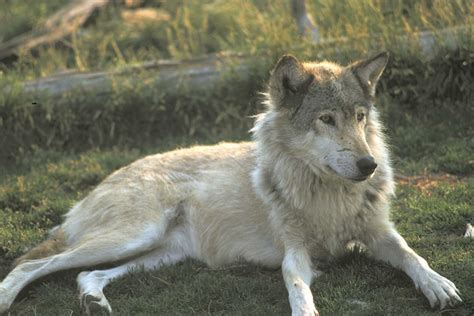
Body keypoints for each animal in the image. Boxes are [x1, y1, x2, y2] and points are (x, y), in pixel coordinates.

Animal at [0, 51, 460, 314]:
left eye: (361, 117)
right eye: (326, 119)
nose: (369, 165)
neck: (327, 194)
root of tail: (98, 185)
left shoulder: (379, 234)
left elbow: (413, 256)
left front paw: (438, 285)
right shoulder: (295, 254)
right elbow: (297, 288)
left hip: (160, 254)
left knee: (86, 275)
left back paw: (94, 301)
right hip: (132, 236)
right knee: (30, 265)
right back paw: (10, 300)